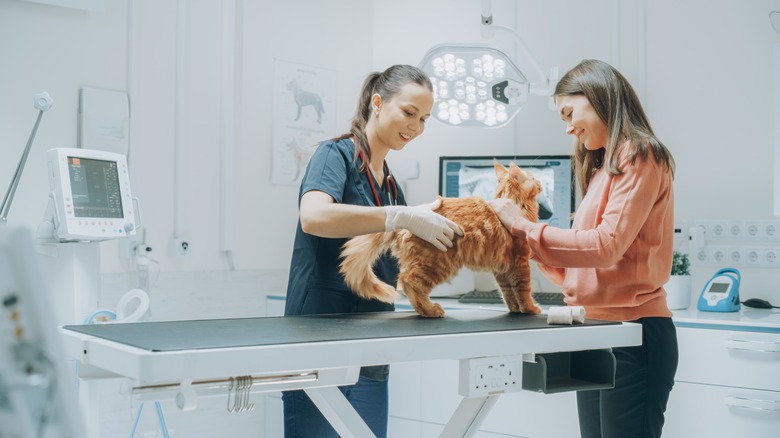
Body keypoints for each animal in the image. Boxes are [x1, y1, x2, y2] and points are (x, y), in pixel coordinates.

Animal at [342, 161, 544, 318]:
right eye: (533, 177)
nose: (540, 181)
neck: (514, 203)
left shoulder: (503, 269)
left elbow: (508, 293)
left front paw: (516, 310)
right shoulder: (519, 262)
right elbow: (524, 290)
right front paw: (530, 309)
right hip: (437, 263)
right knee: (409, 281)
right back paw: (430, 310)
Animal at [490, 58, 680, 438]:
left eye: (566, 112)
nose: (540, 181)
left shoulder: (513, 270)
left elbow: (520, 293)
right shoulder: (510, 270)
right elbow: (517, 293)